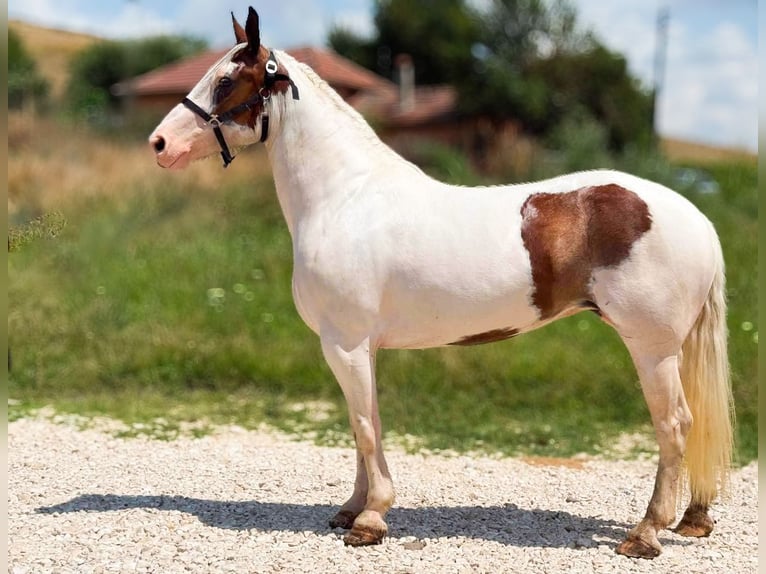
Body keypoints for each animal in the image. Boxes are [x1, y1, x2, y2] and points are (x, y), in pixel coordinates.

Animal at [149, 7, 734, 559]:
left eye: (226, 80)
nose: (158, 143)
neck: (345, 198)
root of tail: (698, 219)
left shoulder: (344, 343)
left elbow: (365, 426)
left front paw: (370, 520)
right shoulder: (362, 347)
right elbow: (365, 423)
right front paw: (352, 508)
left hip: (651, 349)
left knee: (675, 425)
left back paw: (645, 534)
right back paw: (693, 518)